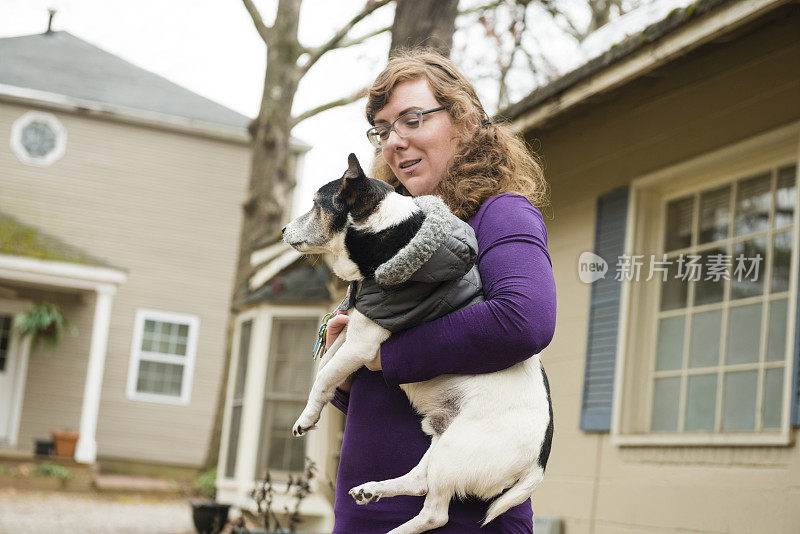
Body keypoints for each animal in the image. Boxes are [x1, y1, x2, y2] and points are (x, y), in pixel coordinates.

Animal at [284, 154, 552, 534]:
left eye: (315, 204)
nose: (282, 231)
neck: (390, 236)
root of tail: (539, 463)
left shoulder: (362, 344)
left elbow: (323, 378)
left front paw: (307, 418)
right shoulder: (350, 333)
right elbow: (325, 369)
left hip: (455, 451)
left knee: (435, 514)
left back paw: (396, 530)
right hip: (440, 440)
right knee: (418, 482)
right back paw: (373, 489)